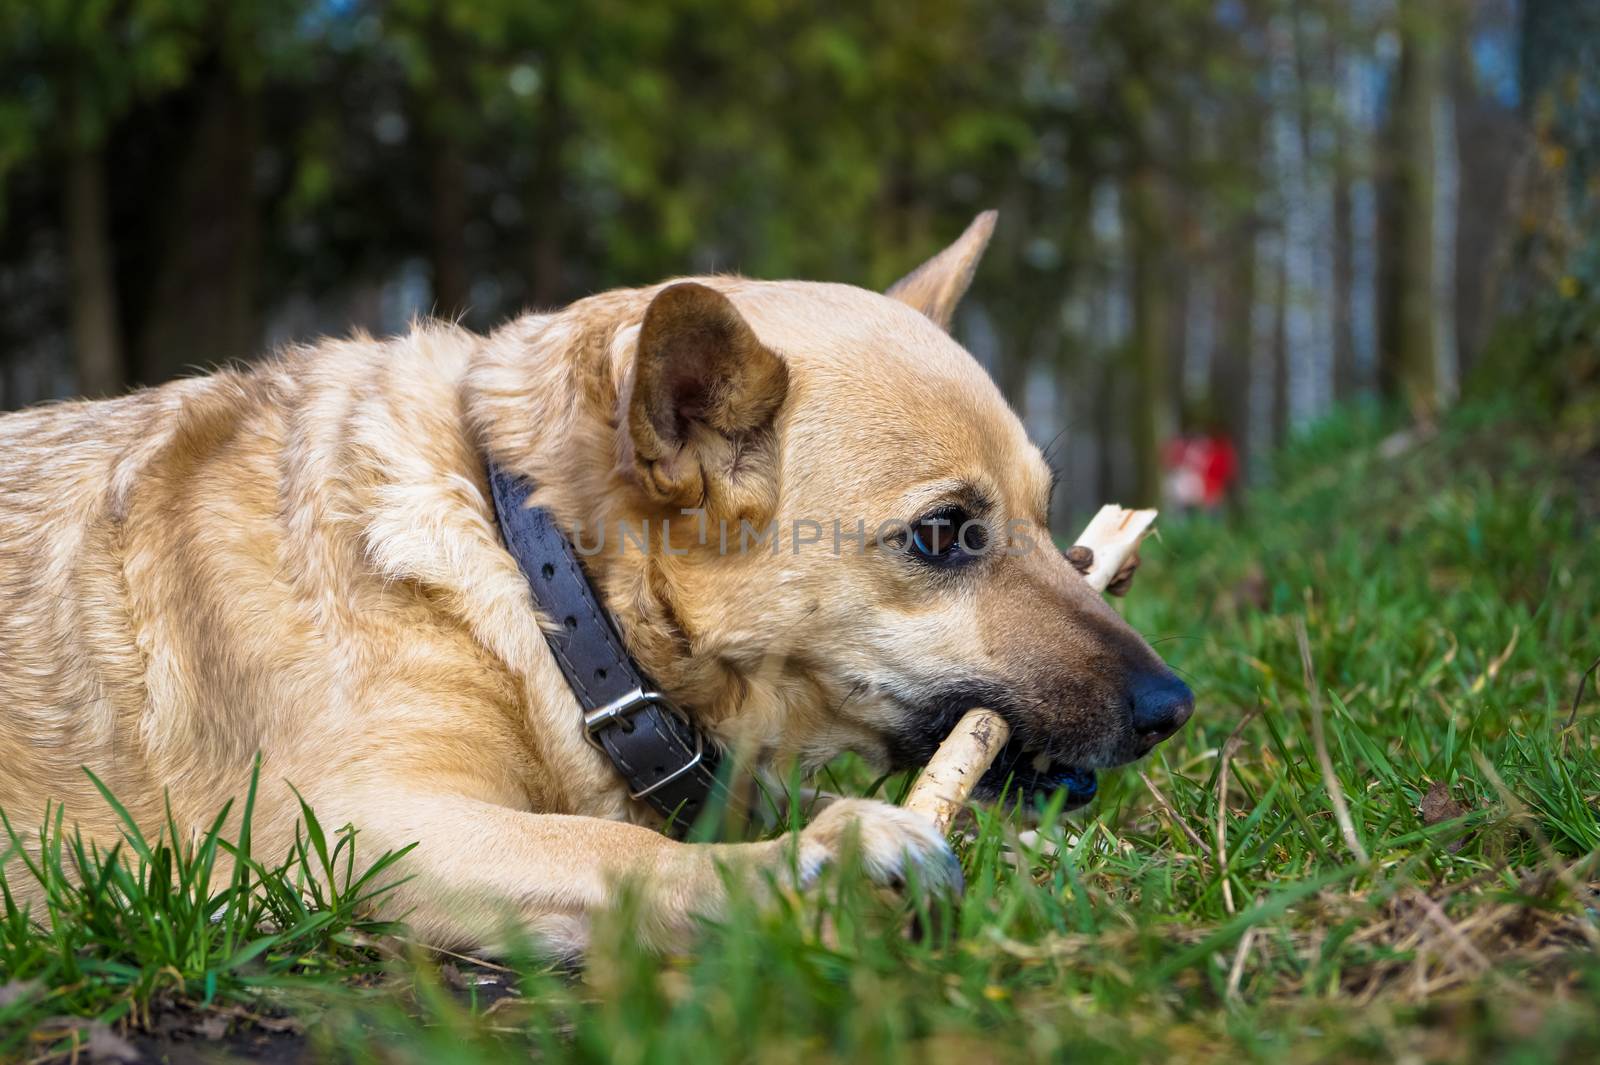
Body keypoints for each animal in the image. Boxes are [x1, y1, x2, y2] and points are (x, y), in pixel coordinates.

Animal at [0, 214, 1190, 953]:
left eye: (1050, 517)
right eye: (944, 535)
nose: (1173, 708)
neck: (533, 569)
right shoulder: (349, 833)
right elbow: (616, 849)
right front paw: (816, 864)